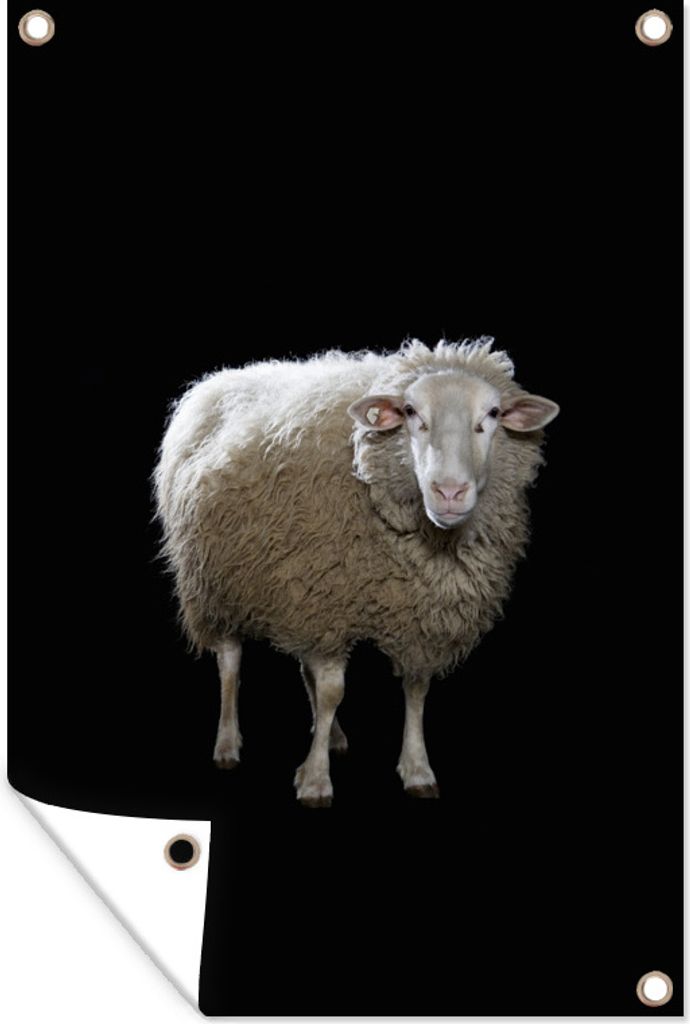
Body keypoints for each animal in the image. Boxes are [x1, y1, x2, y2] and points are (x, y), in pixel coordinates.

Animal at [154, 337, 559, 807]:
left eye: (492, 414)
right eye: (410, 412)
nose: (449, 492)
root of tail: (215, 381)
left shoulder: (408, 614)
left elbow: (416, 689)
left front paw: (417, 768)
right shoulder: (328, 598)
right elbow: (332, 691)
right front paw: (315, 780)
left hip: (293, 586)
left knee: (302, 668)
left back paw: (332, 737)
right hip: (213, 580)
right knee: (230, 662)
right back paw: (227, 743)